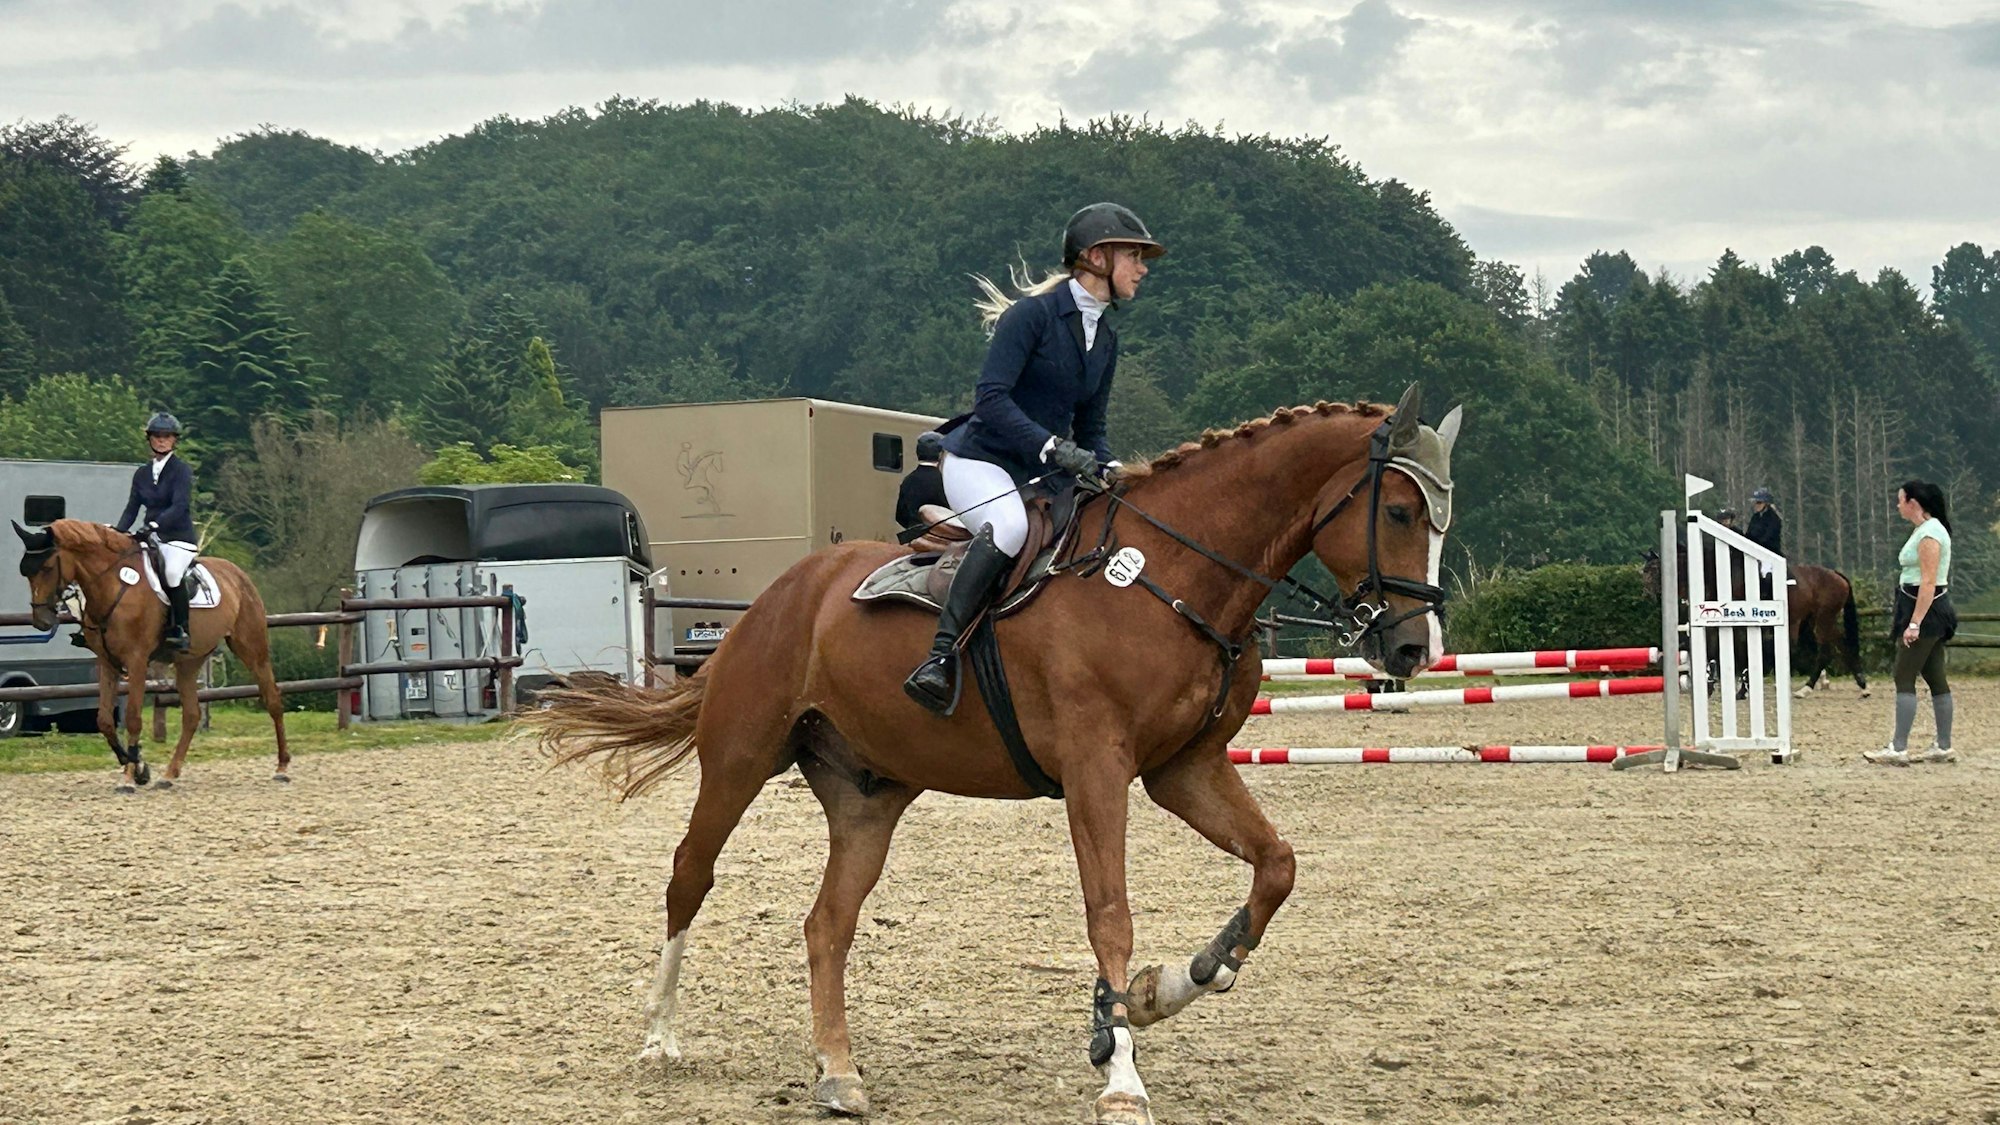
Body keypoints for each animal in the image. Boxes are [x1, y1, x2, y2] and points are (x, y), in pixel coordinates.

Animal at [13, 519, 290, 789]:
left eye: (48, 567)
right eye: (25, 572)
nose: (41, 621)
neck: (113, 586)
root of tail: (238, 573)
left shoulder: (136, 661)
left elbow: (133, 717)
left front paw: (130, 776)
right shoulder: (108, 663)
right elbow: (104, 721)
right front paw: (137, 768)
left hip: (252, 648)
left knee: (273, 699)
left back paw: (282, 768)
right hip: (189, 661)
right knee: (192, 715)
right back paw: (169, 774)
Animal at [531, 386, 1461, 1125]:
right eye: (1401, 513)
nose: (1414, 649)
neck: (1169, 574)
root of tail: (775, 596)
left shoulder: (1183, 768)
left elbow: (1277, 864)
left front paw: (1176, 983)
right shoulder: (1097, 768)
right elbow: (1110, 913)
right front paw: (1122, 1075)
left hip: (869, 794)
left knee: (827, 922)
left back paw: (838, 1071)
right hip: (740, 757)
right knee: (690, 873)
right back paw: (660, 1036)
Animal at [1642, 543, 1867, 698]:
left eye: (1654, 570)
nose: (1648, 596)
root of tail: (1836, 574)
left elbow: (1739, 652)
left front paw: (1740, 688)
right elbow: (1714, 649)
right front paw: (1713, 684)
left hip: (1822, 619)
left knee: (1826, 650)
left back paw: (1806, 689)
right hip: (1815, 620)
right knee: (1839, 644)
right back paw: (1861, 685)